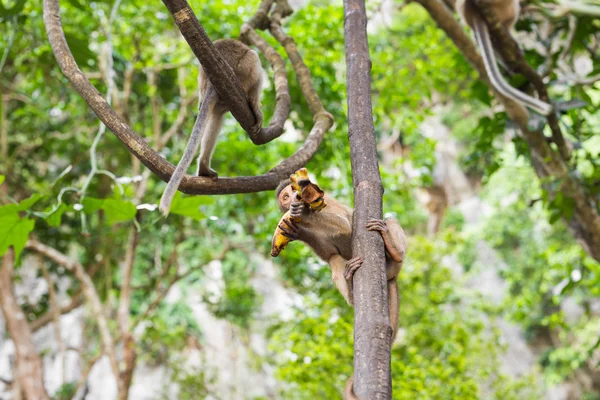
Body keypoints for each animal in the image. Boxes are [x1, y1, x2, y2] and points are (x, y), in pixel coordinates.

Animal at [159, 38, 262, 216]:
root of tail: (211, 81)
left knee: (215, 116)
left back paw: (203, 168)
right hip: (244, 73)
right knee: (254, 57)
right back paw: (254, 105)